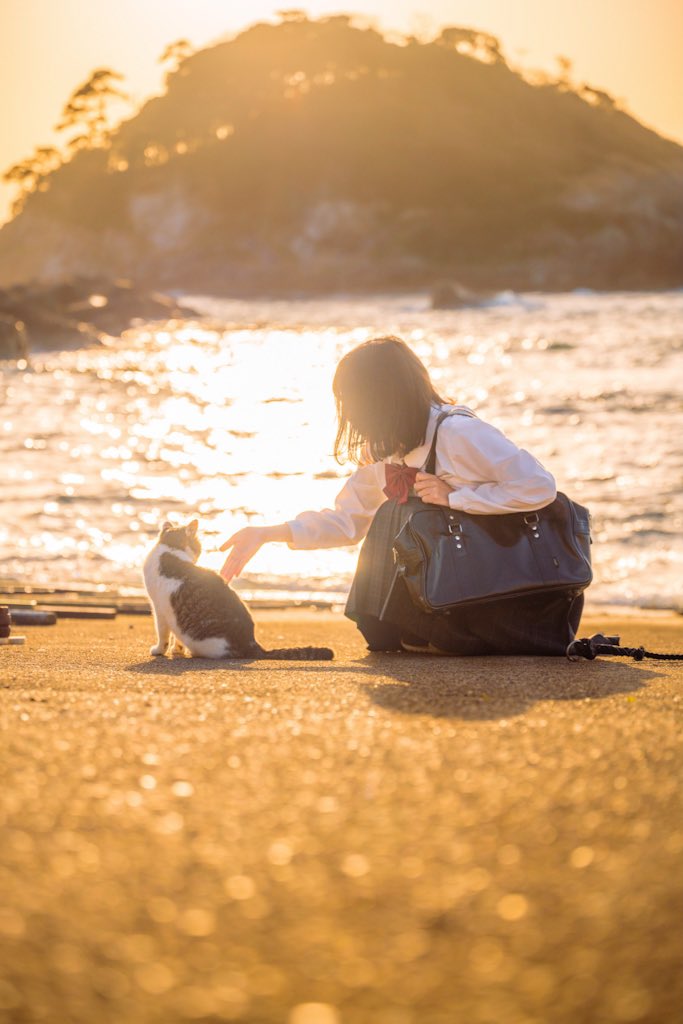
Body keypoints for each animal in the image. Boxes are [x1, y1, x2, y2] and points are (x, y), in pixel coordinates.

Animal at [143, 520, 335, 663]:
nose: (198, 554)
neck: (170, 549)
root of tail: (251, 643)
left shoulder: (160, 609)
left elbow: (163, 634)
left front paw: (159, 650)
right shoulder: (167, 612)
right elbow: (173, 637)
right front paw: (176, 650)